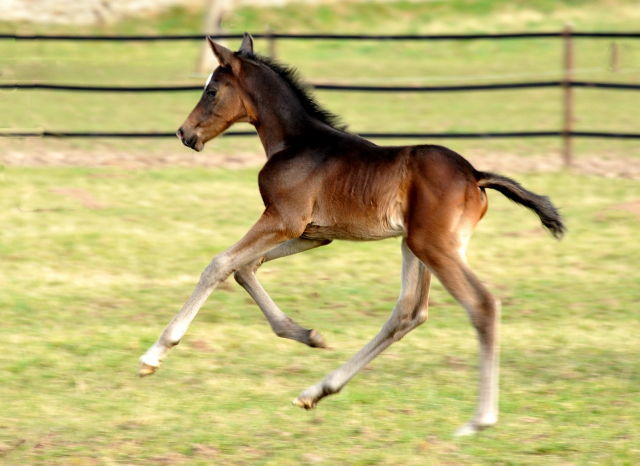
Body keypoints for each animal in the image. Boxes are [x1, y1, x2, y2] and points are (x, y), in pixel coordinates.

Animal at [141, 33, 564, 436]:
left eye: (212, 90)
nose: (183, 133)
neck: (295, 142)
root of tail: (475, 175)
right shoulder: (312, 234)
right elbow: (245, 269)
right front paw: (307, 334)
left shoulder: (283, 219)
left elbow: (219, 264)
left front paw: (155, 353)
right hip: (415, 245)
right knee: (409, 312)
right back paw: (317, 391)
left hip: (433, 246)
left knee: (481, 305)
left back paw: (479, 420)